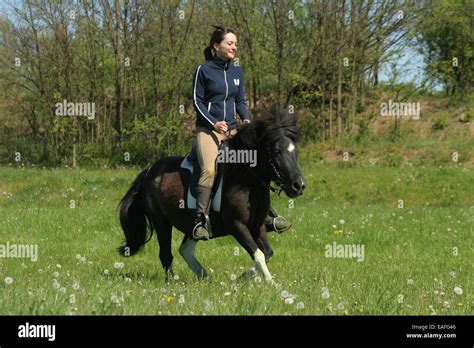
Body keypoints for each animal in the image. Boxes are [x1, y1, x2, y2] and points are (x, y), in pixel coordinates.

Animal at [116, 106, 306, 282]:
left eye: (295, 152)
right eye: (276, 152)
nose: (299, 186)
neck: (246, 180)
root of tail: (149, 171)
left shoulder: (257, 225)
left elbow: (267, 253)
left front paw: (246, 276)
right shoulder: (237, 225)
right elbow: (258, 254)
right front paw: (271, 283)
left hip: (191, 224)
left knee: (185, 249)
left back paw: (205, 277)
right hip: (162, 222)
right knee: (166, 254)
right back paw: (174, 282)